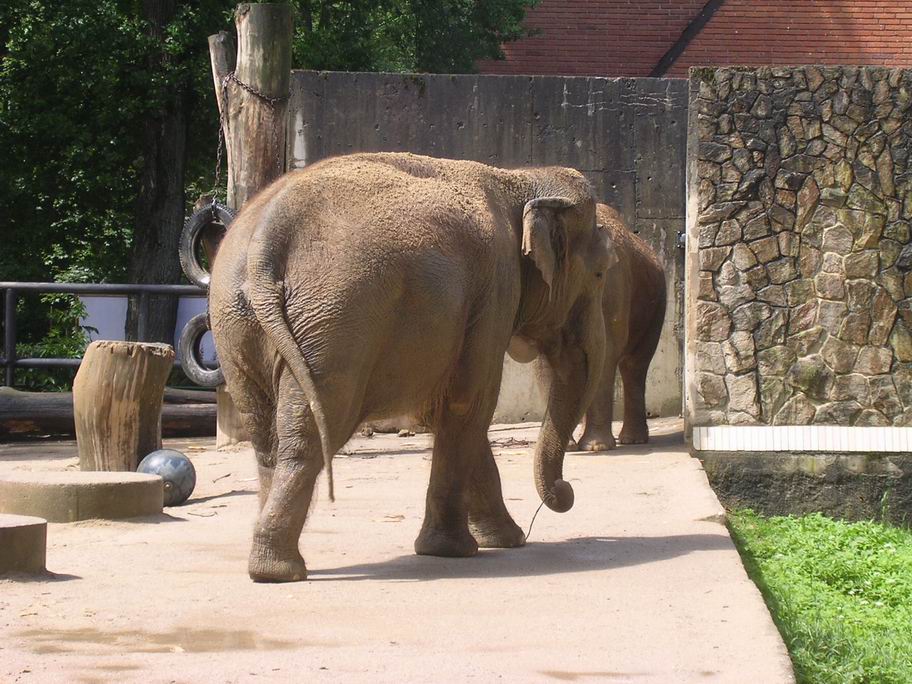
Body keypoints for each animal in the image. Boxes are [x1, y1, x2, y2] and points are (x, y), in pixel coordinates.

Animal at [210, 152, 616, 580]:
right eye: (600, 273)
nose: (565, 492)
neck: (517, 180)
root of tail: (265, 237)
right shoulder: (495, 290)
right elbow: (468, 405)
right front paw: (456, 550)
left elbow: (448, 412)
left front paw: (506, 539)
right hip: (335, 323)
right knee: (313, 431)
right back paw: (280, 571)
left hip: (236, 324)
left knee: (265, 437)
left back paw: (267, 561)